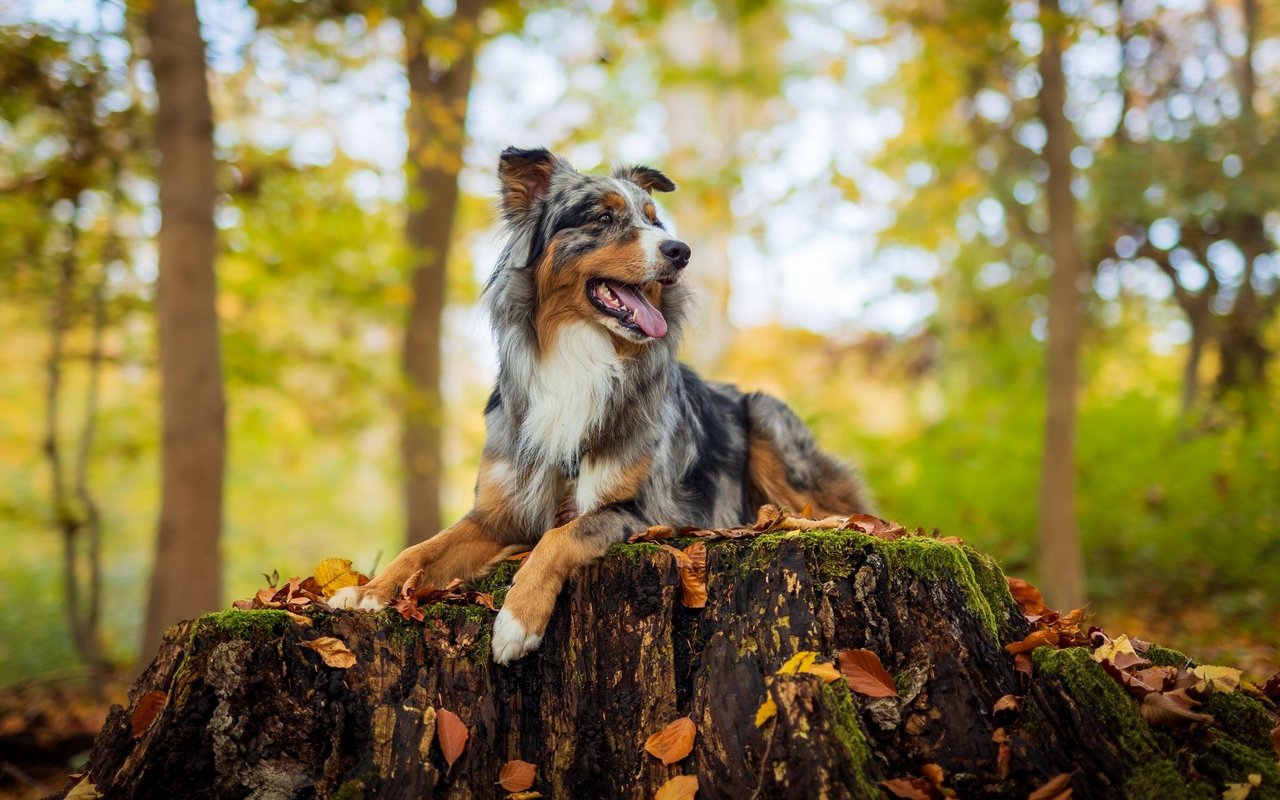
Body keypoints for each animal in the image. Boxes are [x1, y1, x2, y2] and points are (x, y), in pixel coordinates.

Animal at [330, 145, 870, 660]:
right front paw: (368, 593)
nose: (680, 251)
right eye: (603, 218)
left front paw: (516, 621)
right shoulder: (497, 512)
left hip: (769, 425)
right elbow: (422, 548)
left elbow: (561, 536)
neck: (579, 354)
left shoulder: (645, 512)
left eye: (654, 220)